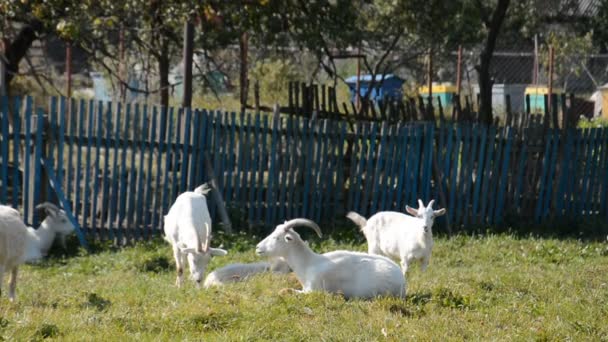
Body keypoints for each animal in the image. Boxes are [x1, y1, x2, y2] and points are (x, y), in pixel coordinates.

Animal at [254, 219, 406, 300]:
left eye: (276, 237)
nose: (258, 247)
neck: (308, 264)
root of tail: (403, 281)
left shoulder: (313, 291)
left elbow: (286, 290)